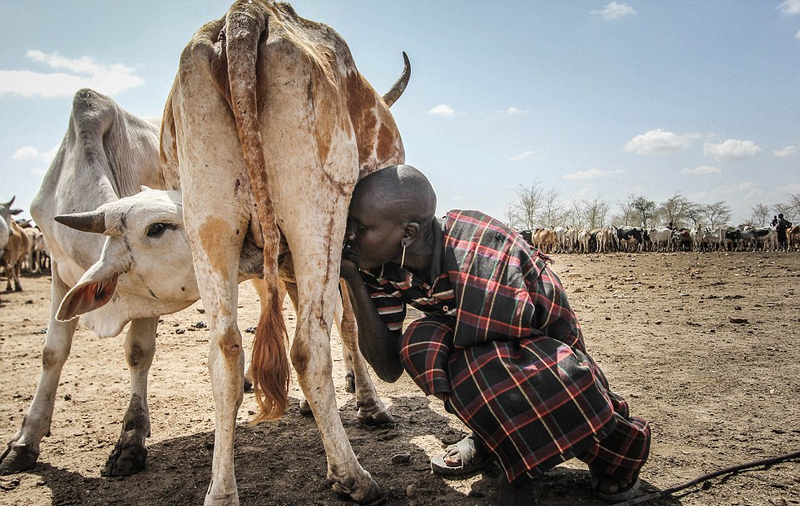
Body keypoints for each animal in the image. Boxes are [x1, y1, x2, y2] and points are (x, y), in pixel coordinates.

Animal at [158, 1, 406, 504]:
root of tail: (245, 17)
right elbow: (348, 325)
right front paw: (369, 405)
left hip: (209, 225)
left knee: (226, 353)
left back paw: (222, 491)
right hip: (316, 214)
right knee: (309, 347)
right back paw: (353, 476)